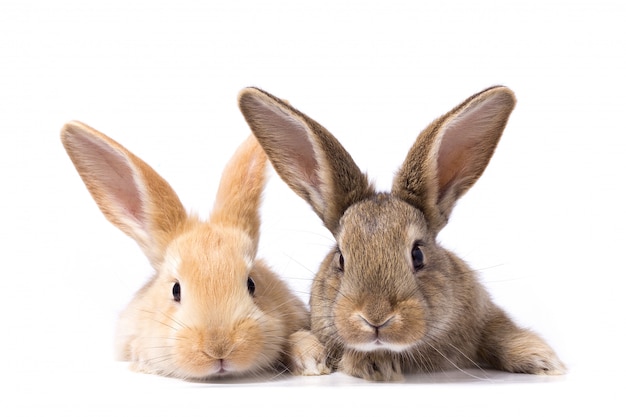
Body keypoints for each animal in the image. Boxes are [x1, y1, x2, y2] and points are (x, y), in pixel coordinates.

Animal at [236, 85, 564, 380]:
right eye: (340, 259)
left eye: (417, 254)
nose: (376, 318)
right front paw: (368, 365)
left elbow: (499, 333)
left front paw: (543, 360)